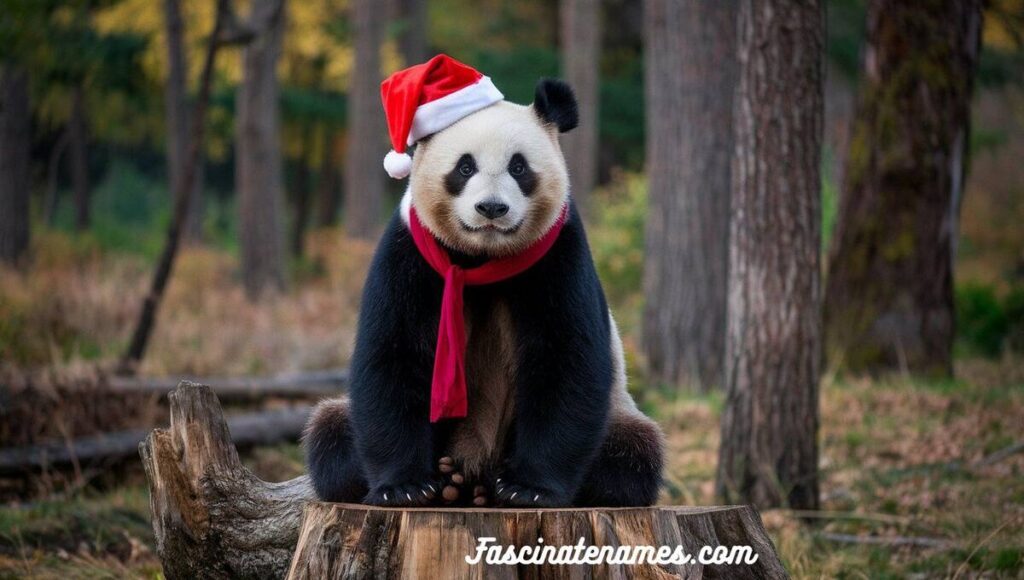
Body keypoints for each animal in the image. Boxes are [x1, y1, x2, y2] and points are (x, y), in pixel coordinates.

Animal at [301, 59, 663, 506]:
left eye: (519, 167)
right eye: (465, 167)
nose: (492, 208)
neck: (480, 258)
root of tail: (475, 464)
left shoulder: (559, 253)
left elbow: (565, 357)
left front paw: (529, 489)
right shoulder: (410, 252)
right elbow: (394, 353)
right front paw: (405, 487)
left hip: (619, 411)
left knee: (633, 452)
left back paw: (492, 485)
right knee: (329, 431)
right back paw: (445, 481)